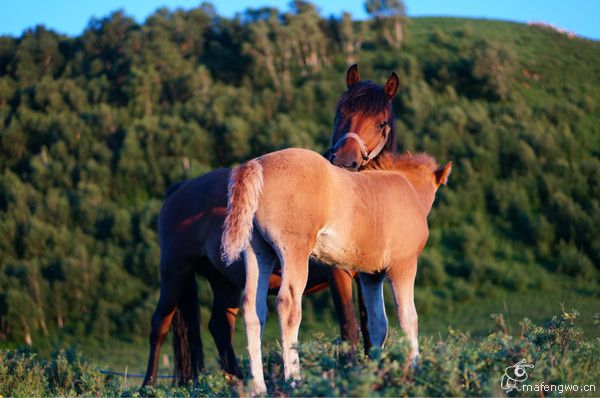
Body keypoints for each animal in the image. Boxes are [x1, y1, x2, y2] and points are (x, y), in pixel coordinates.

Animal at [143, 64, 400, 386]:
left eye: (381, 123)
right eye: (340, 112)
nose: (345, 161)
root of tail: (180, 188)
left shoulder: (367, 273)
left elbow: (369, 328)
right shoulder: (338, 275)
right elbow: (349, 327)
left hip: (224, 282)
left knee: (220, 326)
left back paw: (239, 381)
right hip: (175, 272)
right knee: (159, 325)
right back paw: (148, 386)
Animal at [221, 148, 450, 392]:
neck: (408, 190)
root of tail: (257, 165)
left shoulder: (370, 276)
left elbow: (378, 323)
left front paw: (376, 373)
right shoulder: (403, 266)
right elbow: (408, 318)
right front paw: (415, 369)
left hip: (258, 252)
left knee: (253, 309)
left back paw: (258, 387)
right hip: (294, 251)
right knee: (288, 305)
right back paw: (294, 381)